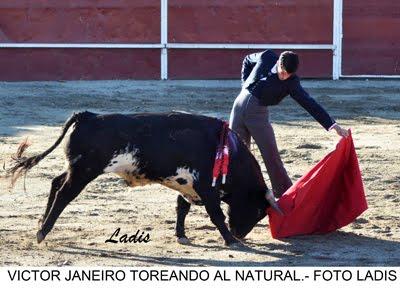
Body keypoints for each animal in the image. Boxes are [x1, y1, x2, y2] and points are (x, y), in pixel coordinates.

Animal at [7, 111, 282, 246]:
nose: (239, 234)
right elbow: (216, 214)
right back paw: (42, 232)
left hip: (75, 167)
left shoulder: (187, 186)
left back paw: (41, 223)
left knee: (55, 183)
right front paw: (229, 240)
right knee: (64, 194)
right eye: (260, 211)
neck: (227, 151)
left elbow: (181, 207)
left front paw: (181, 235)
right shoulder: (206, 187)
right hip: (84, 172)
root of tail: (89, 115)